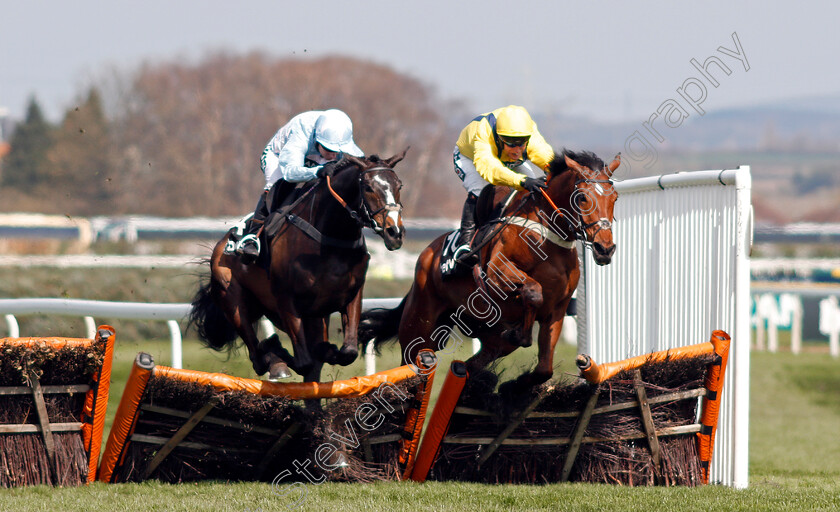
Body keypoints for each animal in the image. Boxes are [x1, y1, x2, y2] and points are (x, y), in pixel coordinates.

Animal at [194, 152, 410, 384]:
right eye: (369, 187)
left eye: (399, 185)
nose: (395, 232)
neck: (330, 238)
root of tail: (221, 244)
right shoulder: (285, 300)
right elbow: (304, 361)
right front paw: (282, 353)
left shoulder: (351, 295)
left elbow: (346, 352)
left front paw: (328, 348)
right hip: (234, 301)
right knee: (257, 357)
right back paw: (275, 359)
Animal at [358, 150, 620, 394]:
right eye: (582, 197)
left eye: (615, 197)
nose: (605, 248)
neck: (546, 234)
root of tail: (426, 255)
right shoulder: (496, 271)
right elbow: (533, 290)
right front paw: (521, 335)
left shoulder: (557, 310)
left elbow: (544, 369)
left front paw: (513, 385)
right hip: (419, 327)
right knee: (410, 365)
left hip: (484, 333)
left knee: (469, 363)